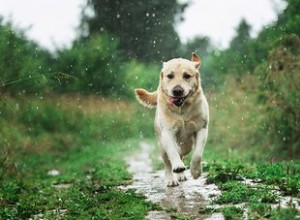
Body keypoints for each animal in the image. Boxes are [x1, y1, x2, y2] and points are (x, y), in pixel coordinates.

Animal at [135, 52, 209, 186]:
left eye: (187, 76)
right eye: (170, 76)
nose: (177, 90)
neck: (182, 111)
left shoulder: (202, 128)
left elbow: (197, 154)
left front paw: (195, 171)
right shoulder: (167, 133)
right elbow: (173, 152)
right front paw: (178, 167)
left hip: (188, 144)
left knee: (183, 151)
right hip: (161, 146)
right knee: (168, 163)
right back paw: (172, 178)